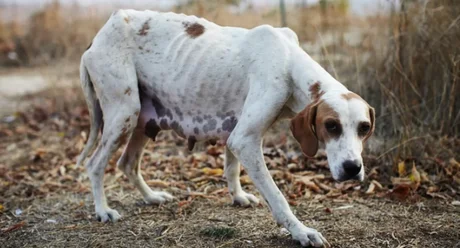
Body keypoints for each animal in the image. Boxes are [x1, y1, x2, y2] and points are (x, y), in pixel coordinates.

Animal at [77, 9, 376, 246]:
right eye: (331, 126)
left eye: (364, 128)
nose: (353, 168)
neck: (288, 61)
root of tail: (99, 35)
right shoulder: (245, 139)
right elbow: (278, 197)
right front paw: (301, 232)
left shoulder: (236, 131)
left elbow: (232, 168)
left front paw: (238, 197)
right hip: (124, 114)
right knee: (95, 165)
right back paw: (103, 210)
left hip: (141, 120)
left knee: (127, 163)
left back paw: (151, 197)